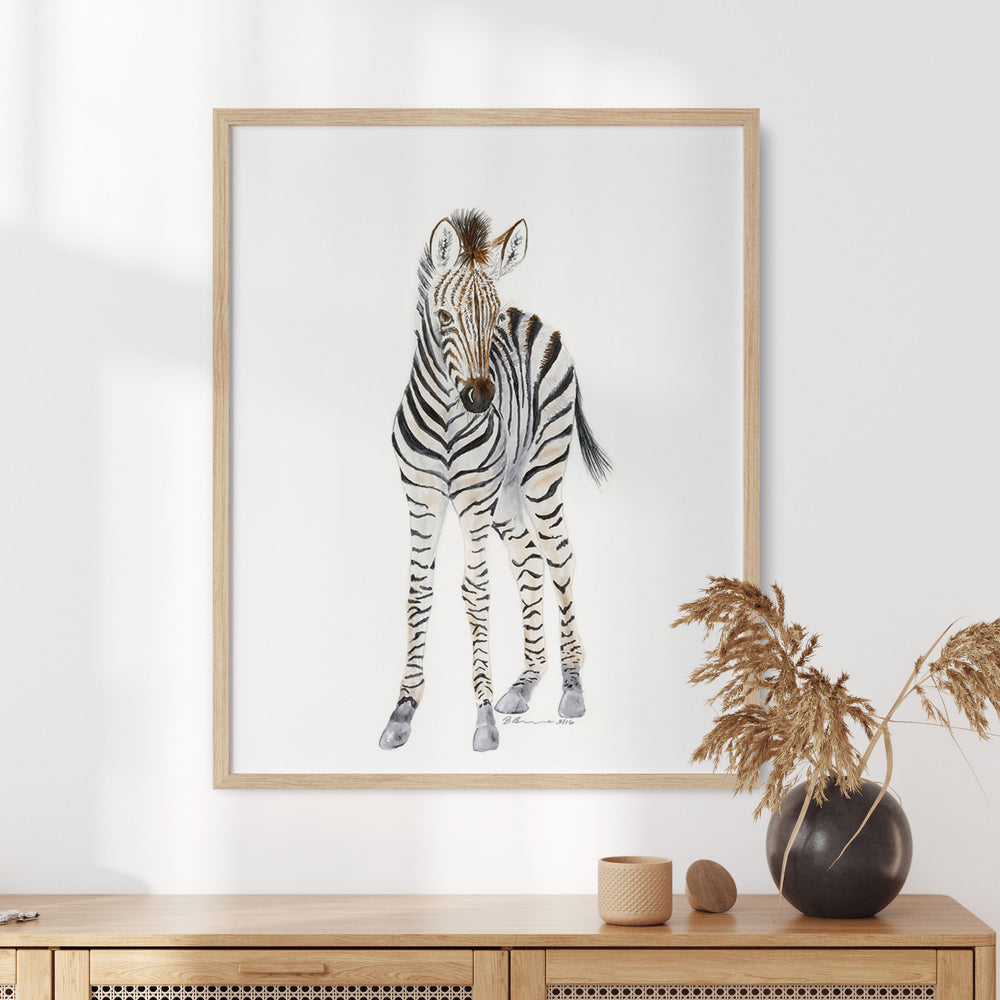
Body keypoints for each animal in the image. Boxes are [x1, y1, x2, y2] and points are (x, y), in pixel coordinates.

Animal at [379, 209, 611, 753]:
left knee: (560, 558)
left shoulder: (471, 501)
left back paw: (572, 687)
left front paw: (482, 718)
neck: (447, 416)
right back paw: (526, 682)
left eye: (492, 315)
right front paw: (403, 710)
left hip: (538, 478)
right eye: (444, 317)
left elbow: (475, 591)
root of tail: (532, 317)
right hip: (504, 498)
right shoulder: (422, 499)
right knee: (528, 563)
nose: (481, 398)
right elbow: (418, 591)